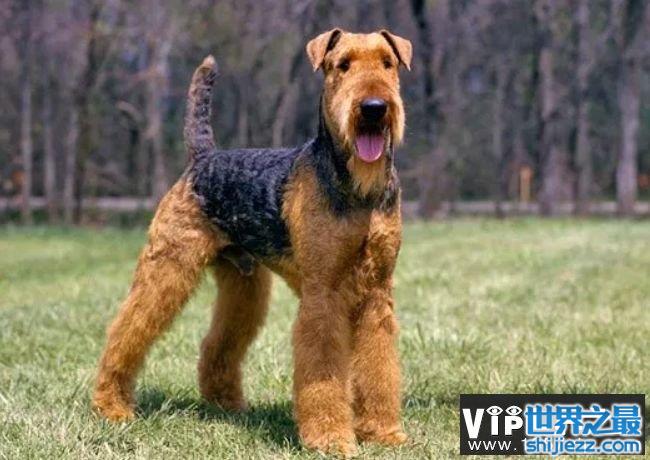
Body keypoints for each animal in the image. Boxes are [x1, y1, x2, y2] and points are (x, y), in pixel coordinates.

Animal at [93, 28, 412, 456]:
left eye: (387, 63)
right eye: (342, 65)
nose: (374, 108)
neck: (357, 189)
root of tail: (202, 157)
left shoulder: (376, 292)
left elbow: (379, 366)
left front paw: (383, 432)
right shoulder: (324, 293)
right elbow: (325, 373)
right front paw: (330, 438)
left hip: (243, 283)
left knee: (217, 345)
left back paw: (225, 403)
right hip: (167, 266)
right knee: (125, 331)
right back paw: (111, 404)